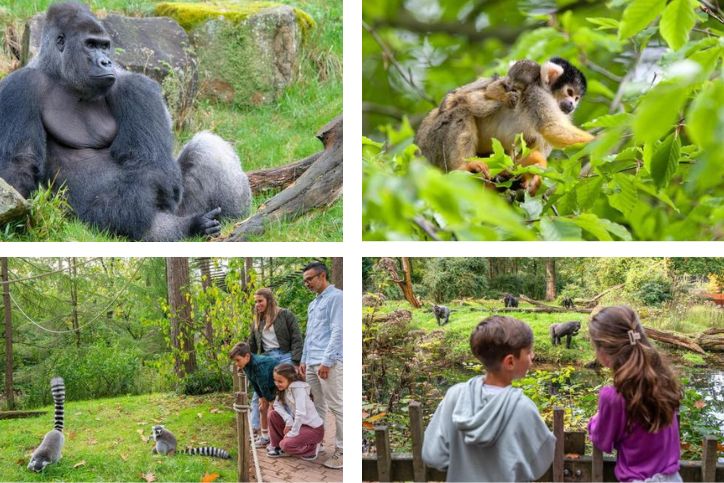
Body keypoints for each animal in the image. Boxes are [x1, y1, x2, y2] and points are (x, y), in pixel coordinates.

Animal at [0, 1, 252, 240]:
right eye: (90, 45)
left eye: (104, 46)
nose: (105, 62)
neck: (62, 76)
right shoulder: (18, 87)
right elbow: (19, 164)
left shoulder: (135, 87)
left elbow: (149, 165)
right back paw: (190, 226)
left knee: (207, 148)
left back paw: (229, 220)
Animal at [412, 60, 592, 195]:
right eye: (569, 92)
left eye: (577, 97)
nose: (572, 105)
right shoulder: (537, 94)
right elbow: (551, 127)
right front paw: (597, 141)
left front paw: (530, 177)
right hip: (432, 143)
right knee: (461, 110)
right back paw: (463, 165)